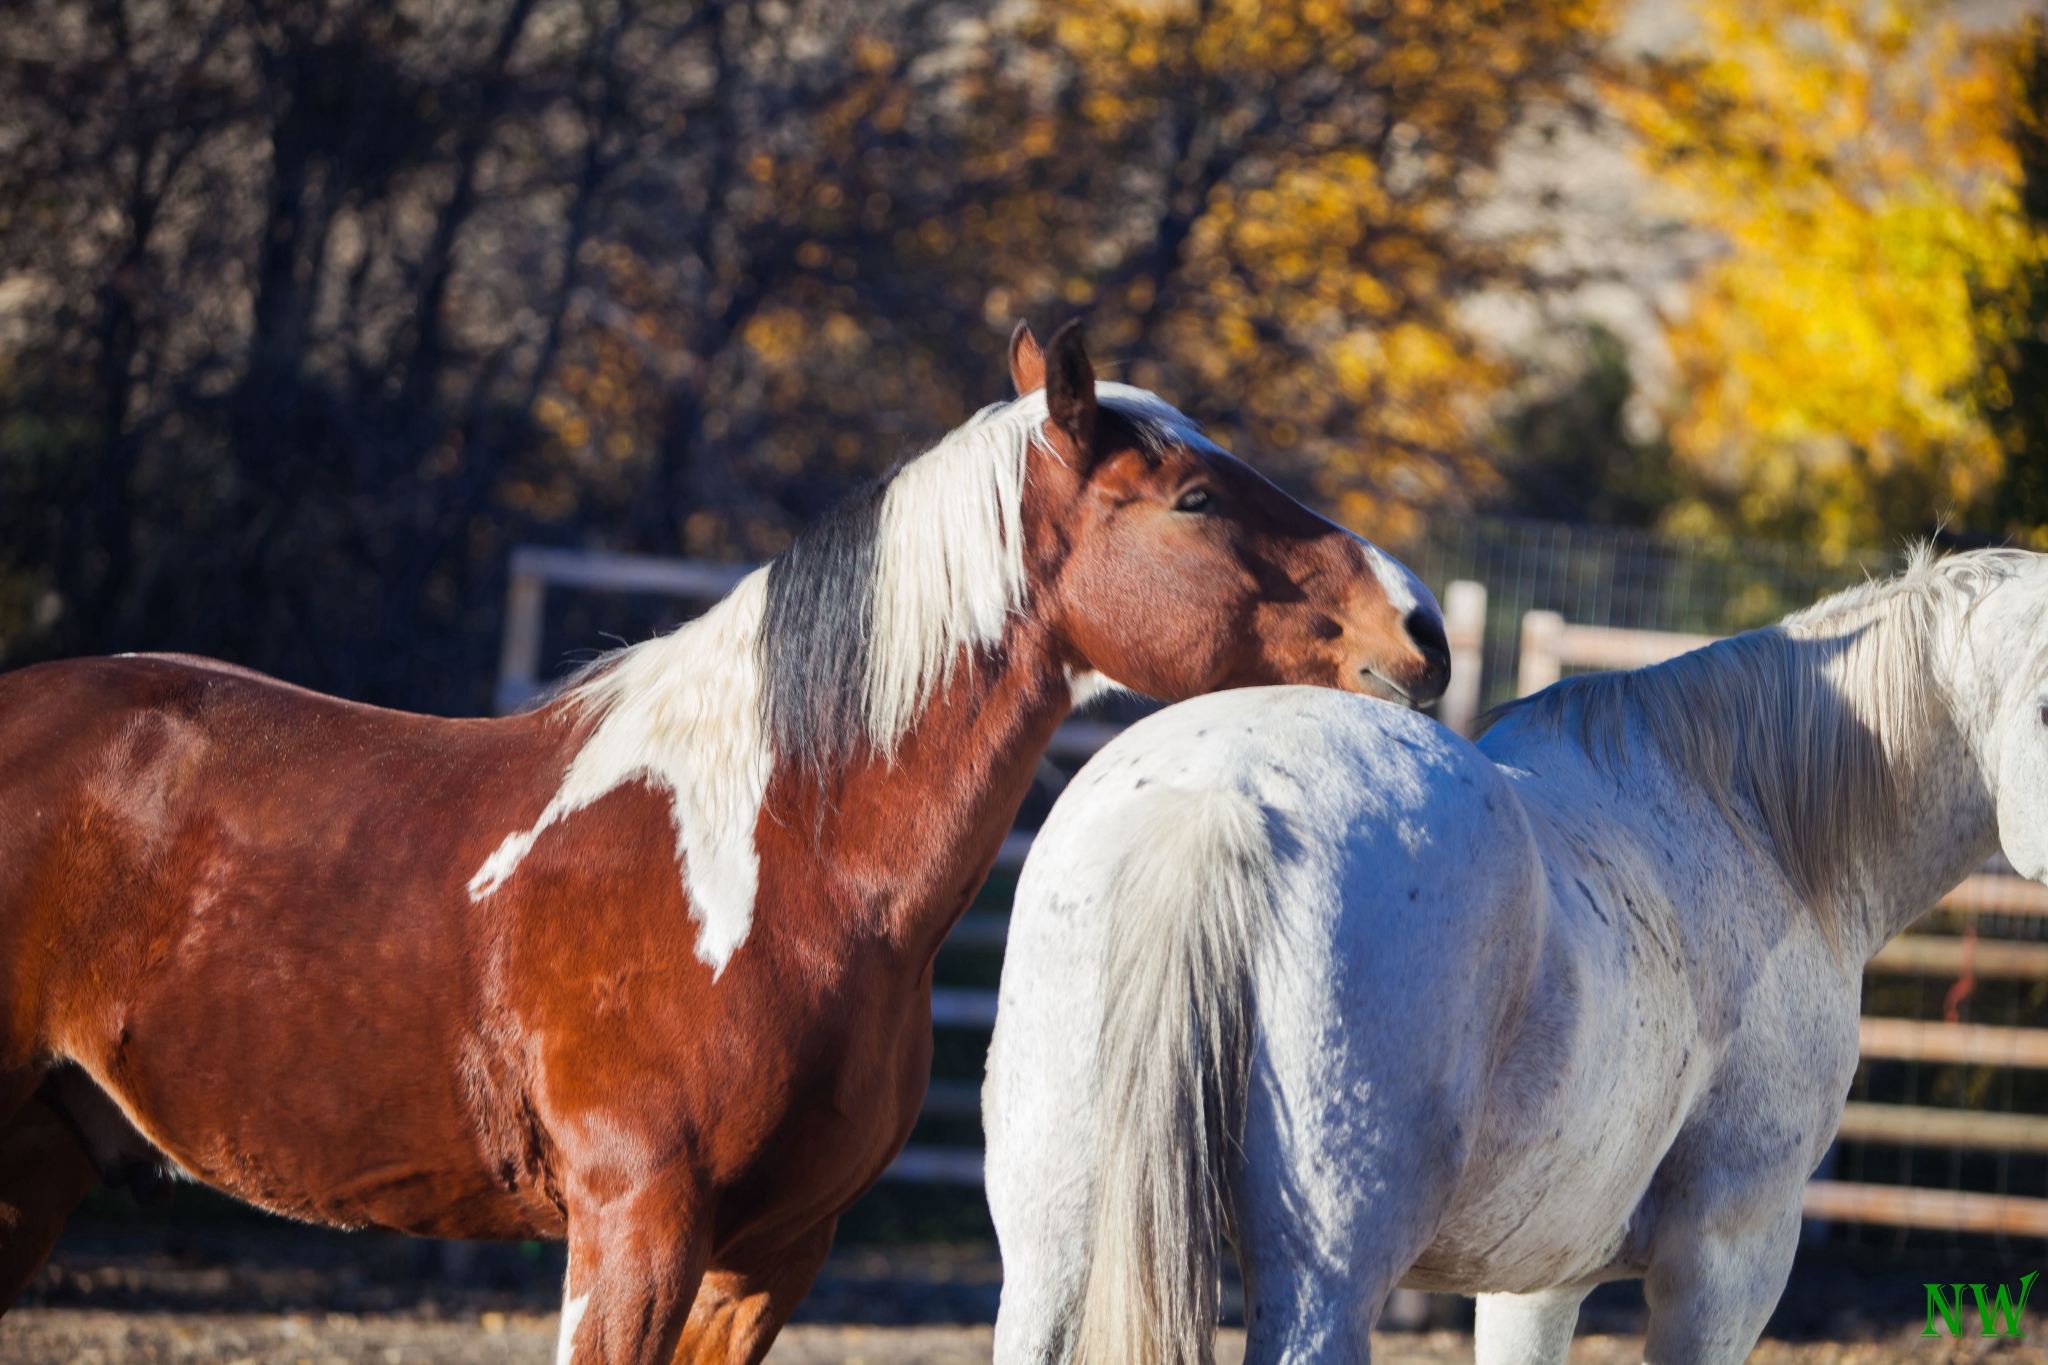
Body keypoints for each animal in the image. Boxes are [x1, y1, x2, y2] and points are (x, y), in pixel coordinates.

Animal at [0, 323, 1449, 1365]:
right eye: (1196, 498)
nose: (1422, 628)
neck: (776, 868)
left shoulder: (772, 1255)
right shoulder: (633, 1232)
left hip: (44, 1157)